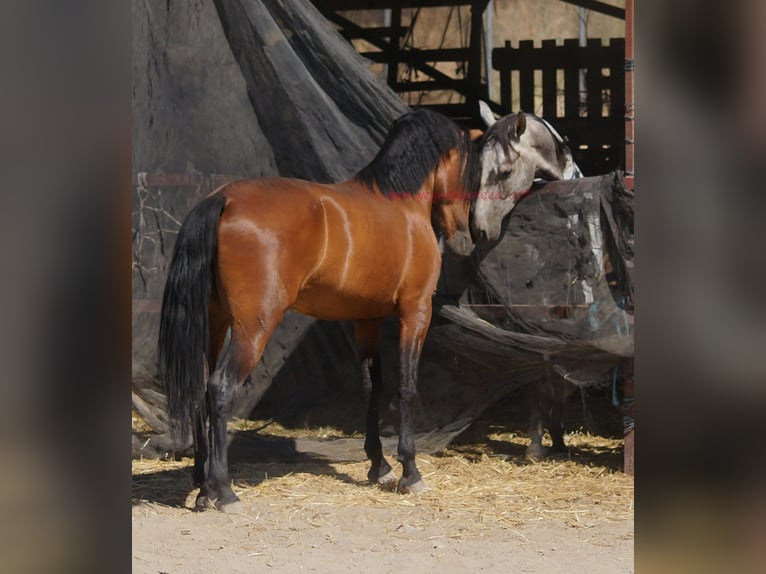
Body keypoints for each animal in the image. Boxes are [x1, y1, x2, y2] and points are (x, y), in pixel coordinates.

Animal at [158, 108, 483, 511]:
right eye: (469, 171)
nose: (465, 239)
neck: (401, 205)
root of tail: (223, 199)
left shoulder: (366, 320)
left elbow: (372, 387)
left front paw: (379, 467)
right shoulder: (415, 312)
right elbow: (406, 386)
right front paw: (410, 472)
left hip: (215, 323)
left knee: (200, 389)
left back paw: (204, 490)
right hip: (253, 327)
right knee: (219, 388)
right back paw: (224, 490)